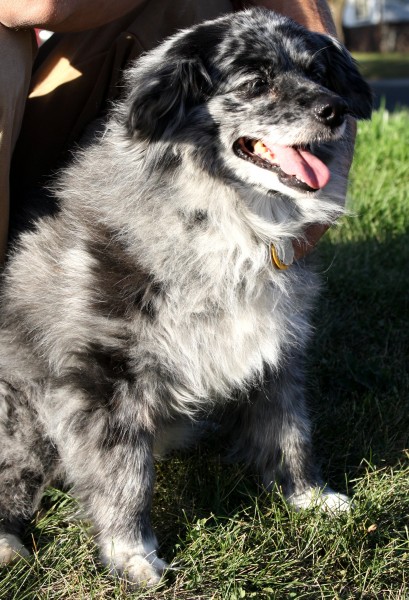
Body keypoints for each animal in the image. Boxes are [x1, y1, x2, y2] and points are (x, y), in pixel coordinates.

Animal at [0, 8, 370, 584]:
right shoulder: (105, 378)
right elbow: (125, 477)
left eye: (318, 73)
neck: (230, 217)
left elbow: (289, 430)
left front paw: (309, 496)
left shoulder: (274, 349)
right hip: (23, 414)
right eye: (256, 82)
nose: (334, 111)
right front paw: (134, 557)